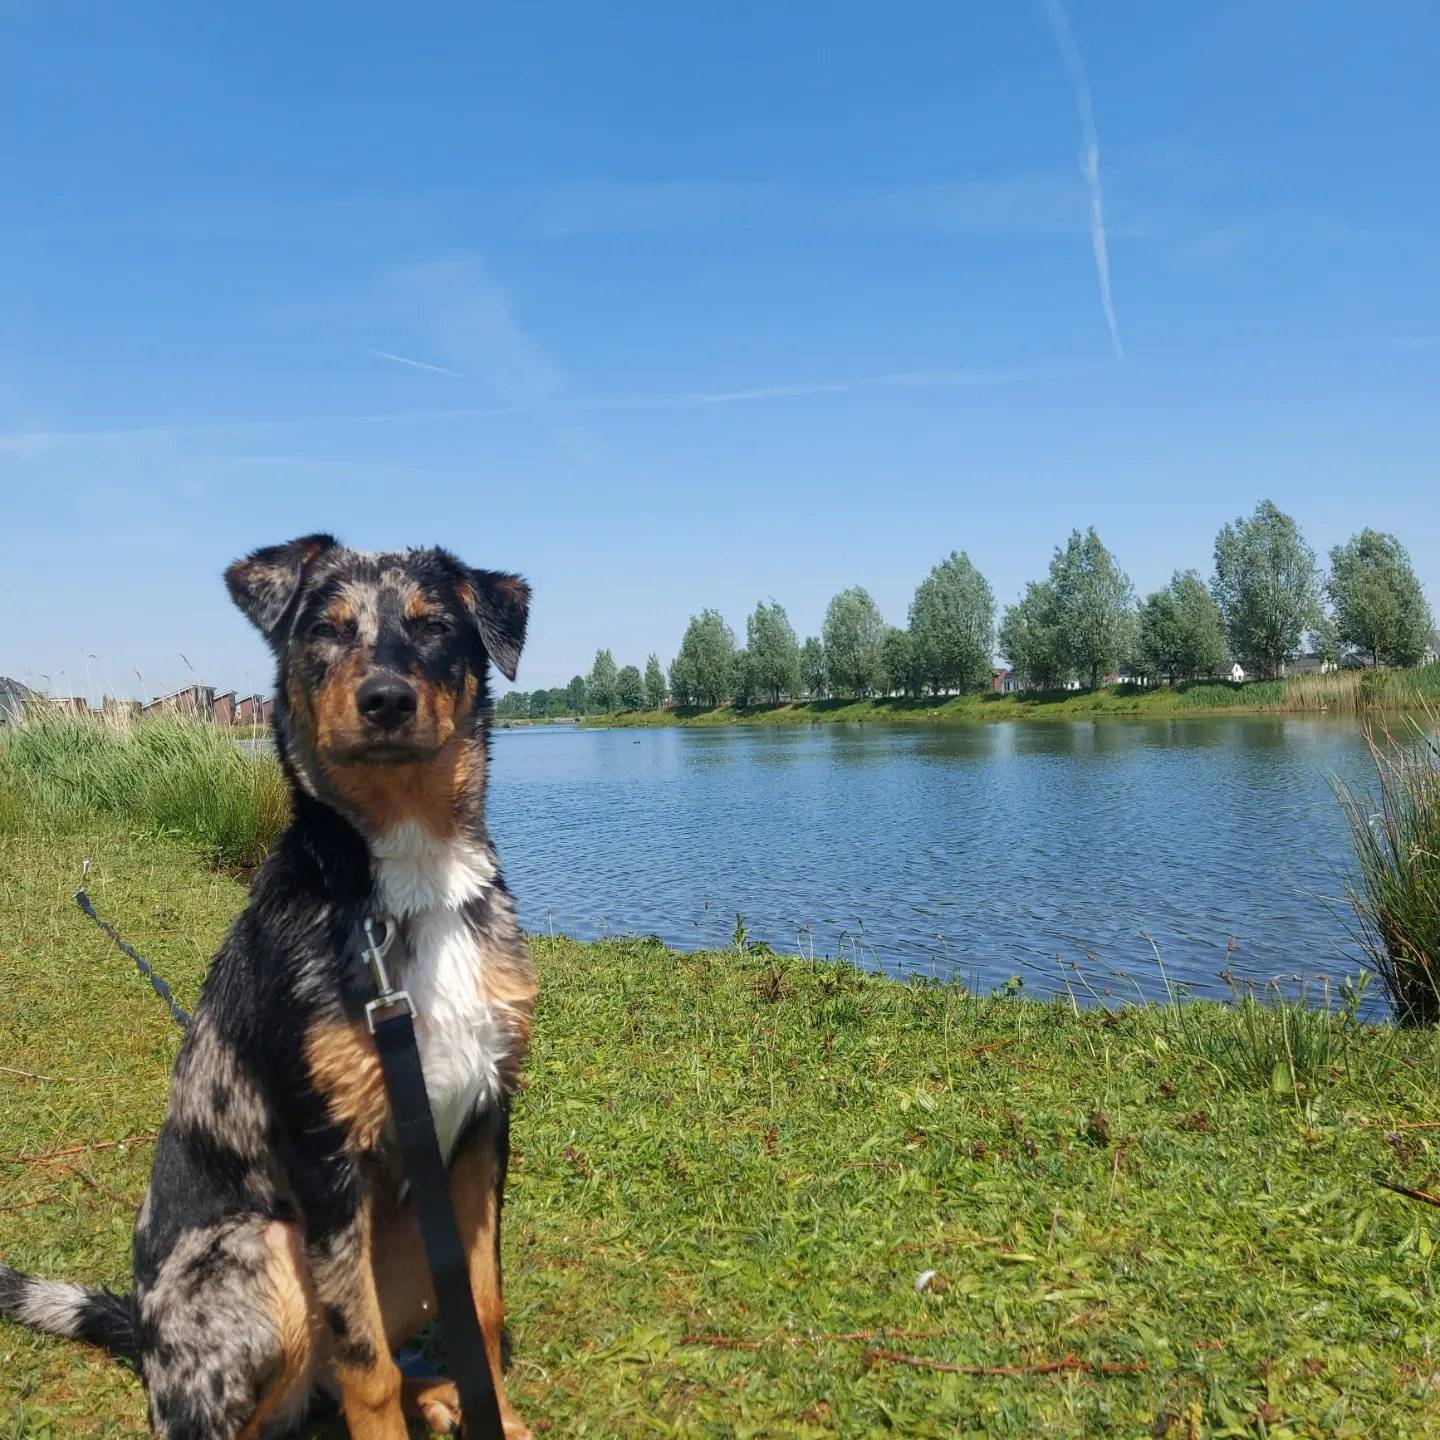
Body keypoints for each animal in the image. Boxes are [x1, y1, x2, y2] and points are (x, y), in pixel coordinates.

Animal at [1, 534, 536, 1439]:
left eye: (434, 626)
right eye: (325, 628)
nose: (385, 699)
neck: (405, 883)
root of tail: (142, 1335)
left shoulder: (482, 1124)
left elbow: (484, 1305)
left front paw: (494, 1412)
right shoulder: (325, 1156)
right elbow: (366, 1367)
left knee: (337, 1378)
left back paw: (438, 1394)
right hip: (269, 1253)